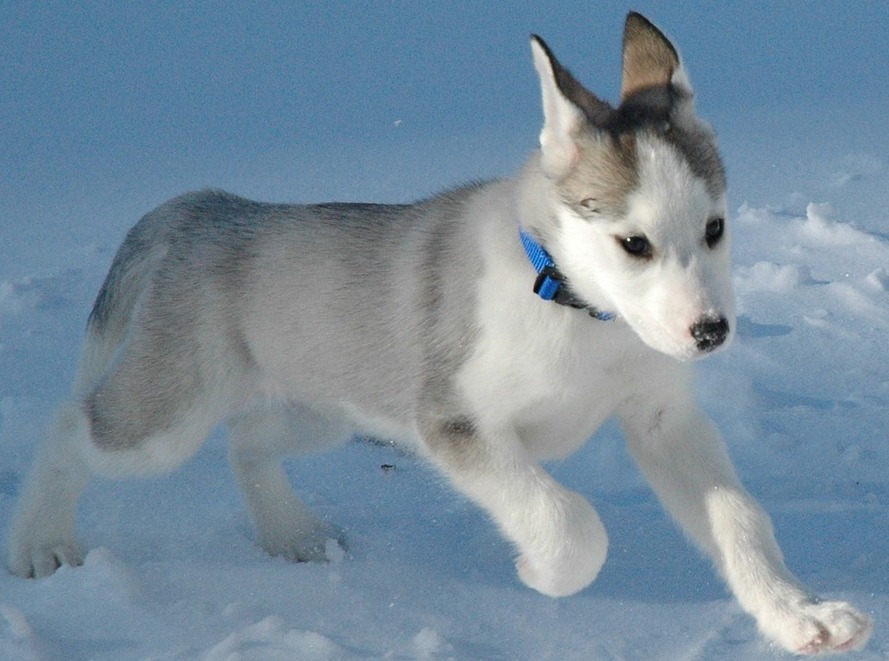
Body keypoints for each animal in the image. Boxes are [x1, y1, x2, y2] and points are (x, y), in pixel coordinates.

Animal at [6, 11, 868, 656]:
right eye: (634, 244)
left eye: (715, 228)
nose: (710, 332)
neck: (574, 308)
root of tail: (209, 207)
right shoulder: (453, 422)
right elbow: (568, 522)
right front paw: (538, 573)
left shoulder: (663, 420)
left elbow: (740, 520)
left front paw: (801, 615)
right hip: (168, 416)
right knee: (72, 425)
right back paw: (41, 545)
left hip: (324, 404)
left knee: (245, 439)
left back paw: (292, 534)